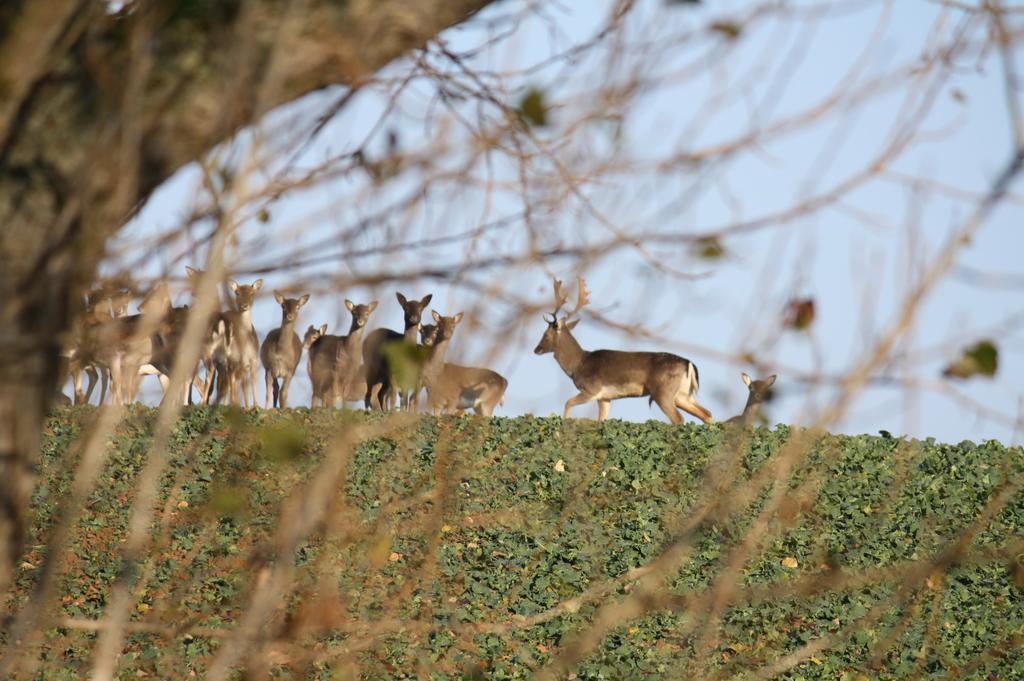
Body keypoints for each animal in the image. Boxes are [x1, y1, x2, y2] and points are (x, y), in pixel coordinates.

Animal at [536, 278, 712, 426]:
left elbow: (567, 403)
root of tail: (689, 363)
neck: (578, 365)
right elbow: (601, 420)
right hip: (683, 394)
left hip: (663, 392)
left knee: (678, 419)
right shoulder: (605, 398)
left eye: (546, 334)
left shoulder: (592, 389)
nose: (536, 349)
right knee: (706, 413)